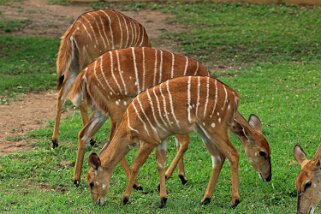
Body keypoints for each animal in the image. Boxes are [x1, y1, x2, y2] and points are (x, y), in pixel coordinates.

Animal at [52, 9, 151, 148]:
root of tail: (73, 30)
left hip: (73, 68)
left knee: (61, 95)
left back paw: (55, 141)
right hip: (87, 63)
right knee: (80, 100)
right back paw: (92, 140)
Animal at [70, 46, 209, 186]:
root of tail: (86, 72)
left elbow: (179, 143)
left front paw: (182, 176)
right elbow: (184, 142)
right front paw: (168, 176)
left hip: (101, 111)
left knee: (84, 134)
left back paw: (76, 179)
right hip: (118, 105)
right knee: (112, 139)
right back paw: (137, 184)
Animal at [85, 75, 268, 207]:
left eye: (91, 183)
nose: (97, 202)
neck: (129, 127)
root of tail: (235, 97)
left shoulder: (148, 141)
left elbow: (137, 166)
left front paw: (125, 198)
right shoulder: (161, 140)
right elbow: (160, 165)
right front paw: (162, 199)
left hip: (214, 127)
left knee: (232, 154)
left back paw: (234, 200)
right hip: (205, 130)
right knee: (218, 157)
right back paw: (205, 199)